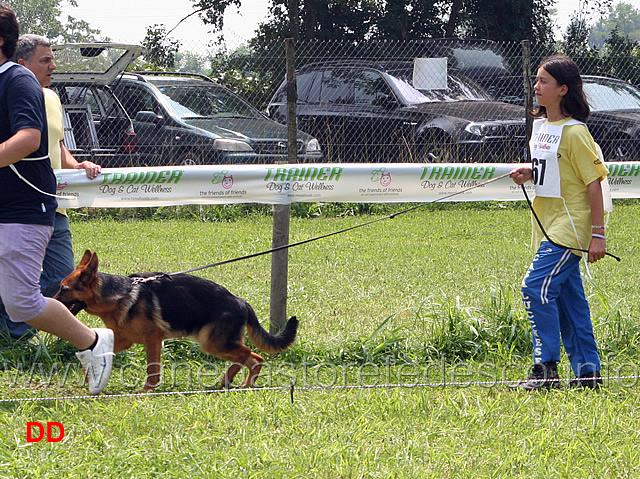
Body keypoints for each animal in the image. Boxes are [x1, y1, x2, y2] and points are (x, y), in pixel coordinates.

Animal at [53, 249, 298, 392]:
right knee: (246, 357)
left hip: (213, 342)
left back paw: (243, 384)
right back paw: (230, 383)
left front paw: (145, 392)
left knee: (253, 357)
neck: (119, 294)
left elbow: (152, 369)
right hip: (217, 343)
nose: (50, 301)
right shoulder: (124, 340)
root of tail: (241, 302)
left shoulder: (152, 339)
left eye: (63, 289)